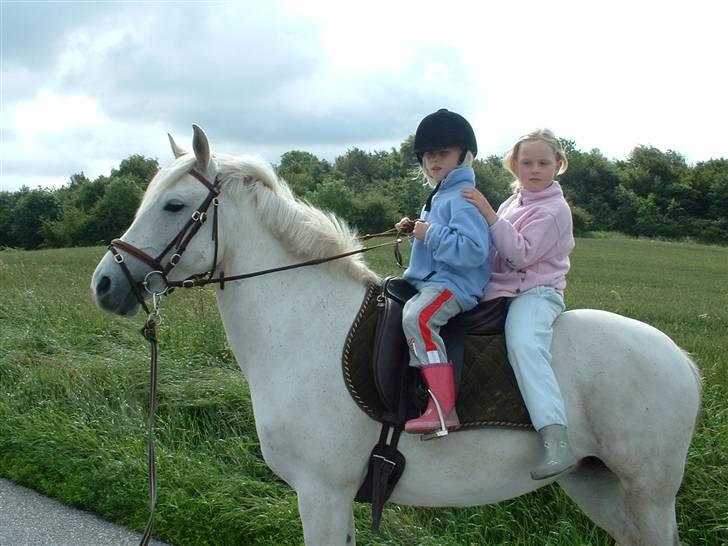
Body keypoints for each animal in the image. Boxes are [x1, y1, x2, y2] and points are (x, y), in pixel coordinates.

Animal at [91, 125, 702, 546]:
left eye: (174, 205)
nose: (104, 283)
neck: (305, 327)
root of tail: (682, 359)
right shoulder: (334, 499)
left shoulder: (321, 494)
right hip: (596, 482)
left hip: (648, 493)